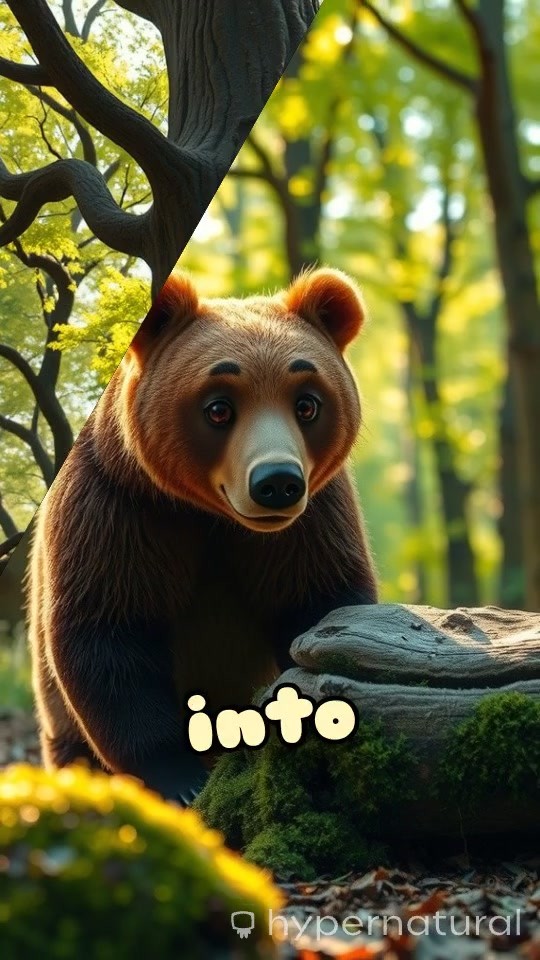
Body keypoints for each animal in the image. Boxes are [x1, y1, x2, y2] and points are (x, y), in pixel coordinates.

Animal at [28, 268, 378, 805]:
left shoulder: (311, 524)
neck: (210, 517)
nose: (277, 482)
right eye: (219, 408)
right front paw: (180, 777)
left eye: (307, 403)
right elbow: (109, 632)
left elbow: (321, 601)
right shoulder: (118, 505)